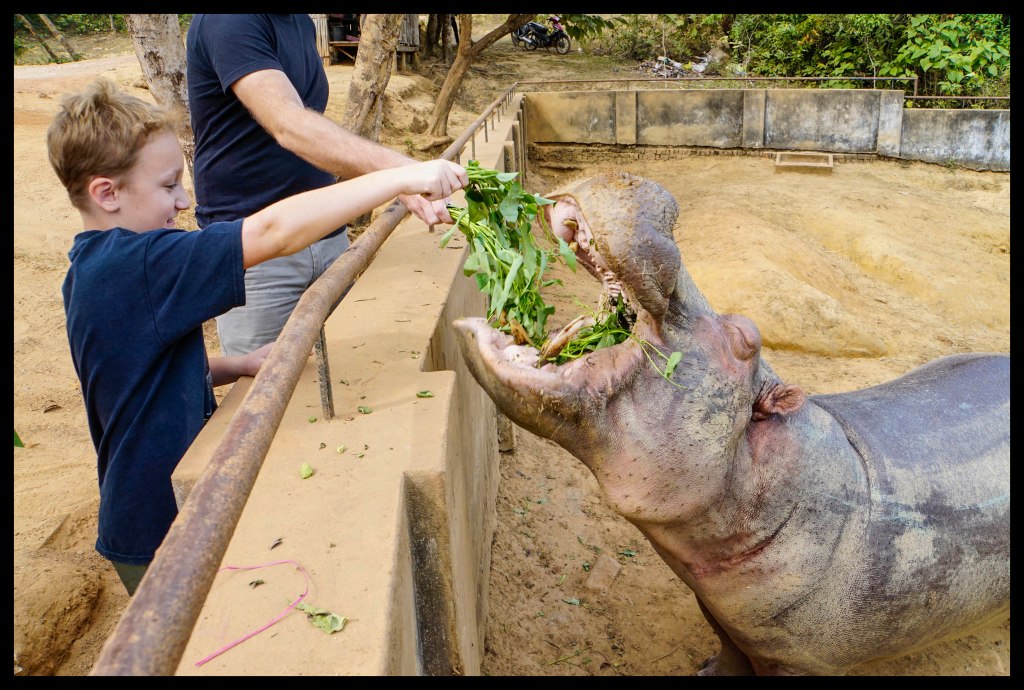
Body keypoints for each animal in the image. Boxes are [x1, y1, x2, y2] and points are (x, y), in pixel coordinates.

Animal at [453, 172, 1010, 676]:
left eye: (746, 338)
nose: (659, 200)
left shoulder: (798, 659)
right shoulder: (722, 614)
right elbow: (728, 649)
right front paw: (706, 672)